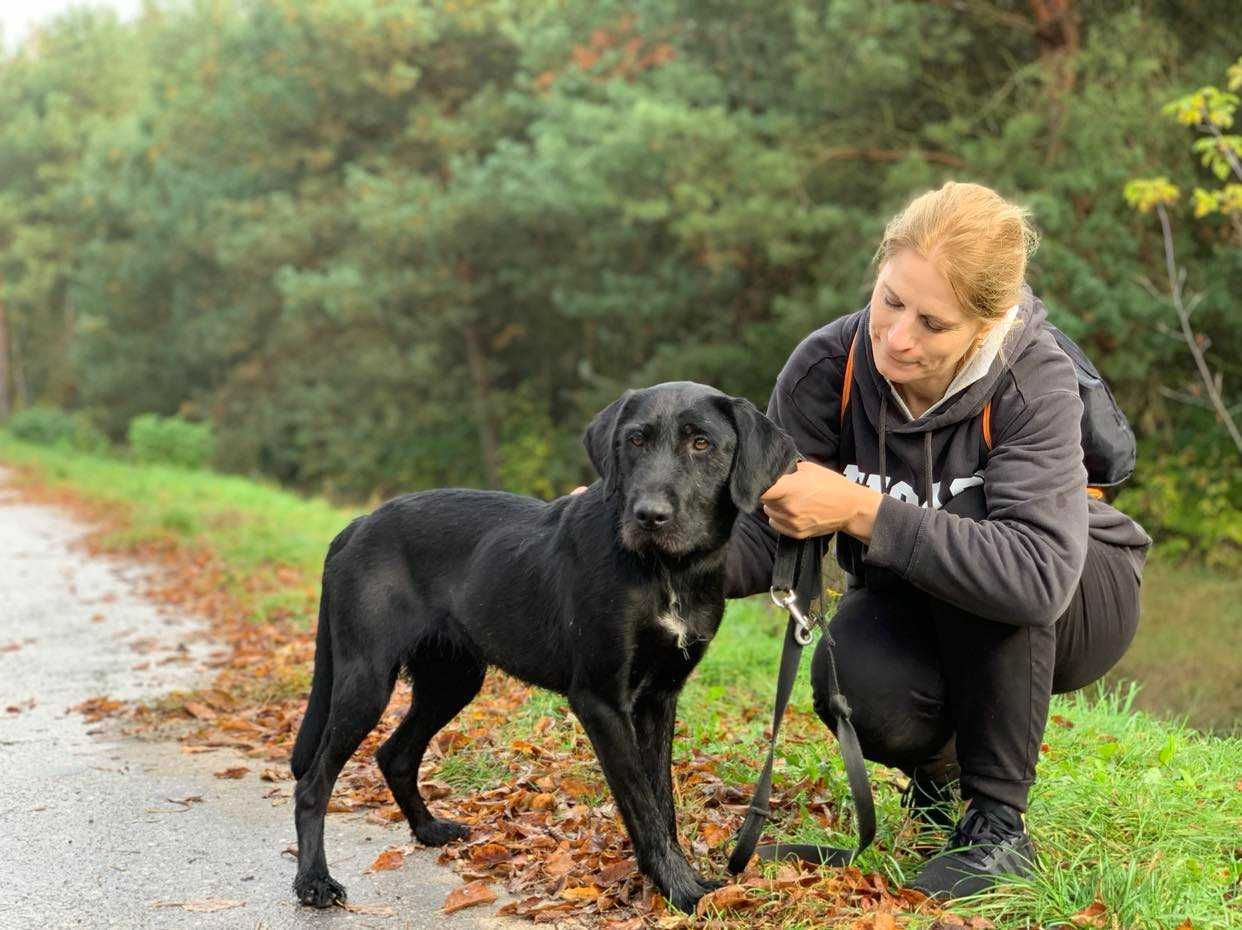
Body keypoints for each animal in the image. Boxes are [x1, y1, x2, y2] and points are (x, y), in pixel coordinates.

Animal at [289, 379, 794, 908]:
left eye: (701, 443)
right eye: (635, 440)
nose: (649, 516)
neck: (667, 572)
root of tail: (358, 524)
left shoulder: (660, 697)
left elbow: (662, 798)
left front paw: (677, 878)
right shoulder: (601, 700)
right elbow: (640, 801)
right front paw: (679, 888)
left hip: (452, 680)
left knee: (395, 754)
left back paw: (428, 829)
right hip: (366, 680)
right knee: (313, 783)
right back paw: (314, 880)